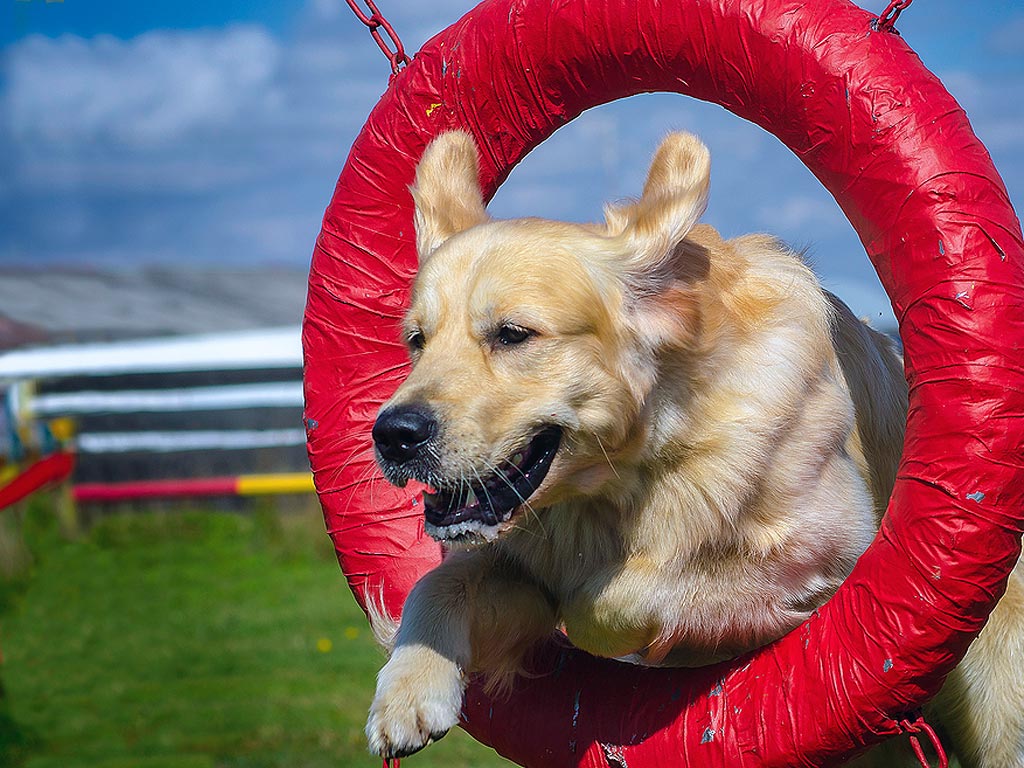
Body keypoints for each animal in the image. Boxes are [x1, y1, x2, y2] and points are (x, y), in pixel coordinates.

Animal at [364, 131, 1019, 765]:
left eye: (513, 335)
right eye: (416, 340)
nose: (393, 435)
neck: (638, 470)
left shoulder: (831, 550)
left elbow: (614, 595)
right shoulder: (523, 562)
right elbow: (439, 584)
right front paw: (407, 695)